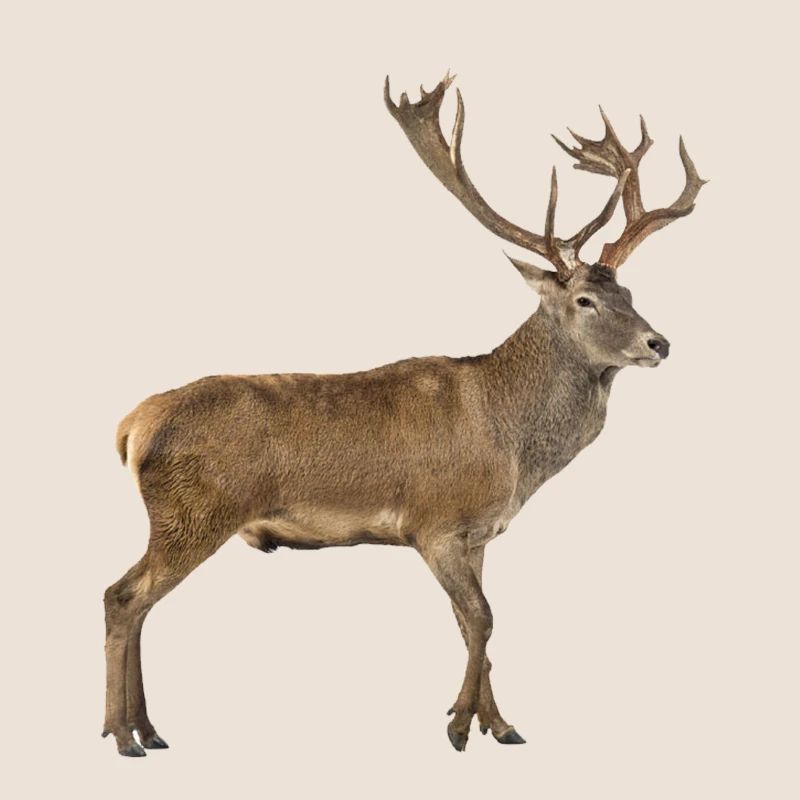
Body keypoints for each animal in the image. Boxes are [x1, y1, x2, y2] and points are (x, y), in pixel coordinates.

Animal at [103, 71, 705, 756]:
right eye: (585, 300)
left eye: (628, 292)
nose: (659, 343)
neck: (513, 448)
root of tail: (131, 426)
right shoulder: (434, 521)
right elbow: (482, 619)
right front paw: (461, 726)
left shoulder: (478, 533)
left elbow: (476, 623)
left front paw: (500, 724)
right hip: (194, 512)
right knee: (122, 596)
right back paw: (123, 733)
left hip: (180, 517)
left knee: (138, 602)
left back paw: (147, 729)